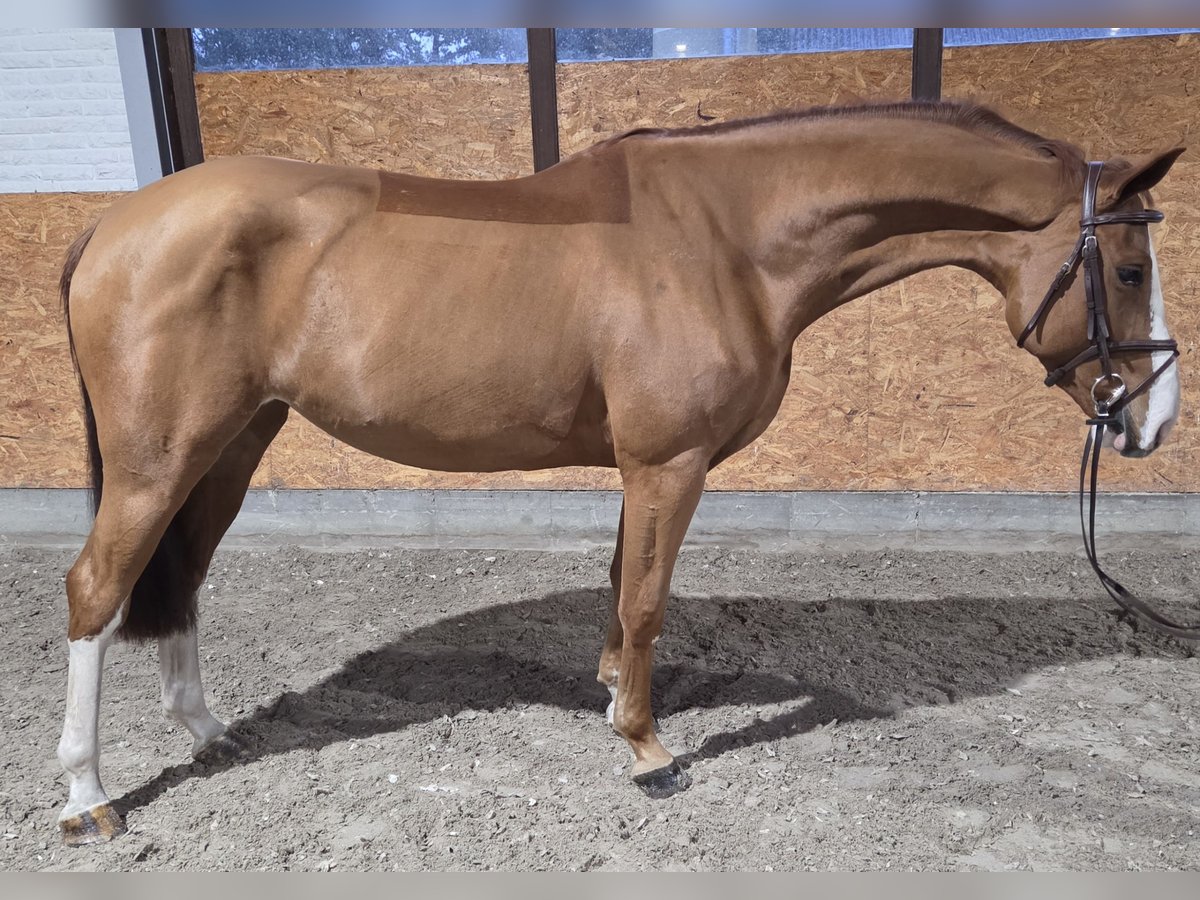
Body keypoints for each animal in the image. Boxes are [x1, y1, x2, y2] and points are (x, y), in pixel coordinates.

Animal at [55, 100, 1183, 845]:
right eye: (1129, 270)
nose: (1153, 421)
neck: (726, 238)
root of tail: (113, 221)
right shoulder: (668, 463)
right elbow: (646, 600)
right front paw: (647, 751)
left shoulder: (639, 468)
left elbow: (616, 587)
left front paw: (609, 702)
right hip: (163, 456)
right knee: (98, 589)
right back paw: (86, 797)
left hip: (233, 442)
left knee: (180, 577)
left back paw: (209, 732)